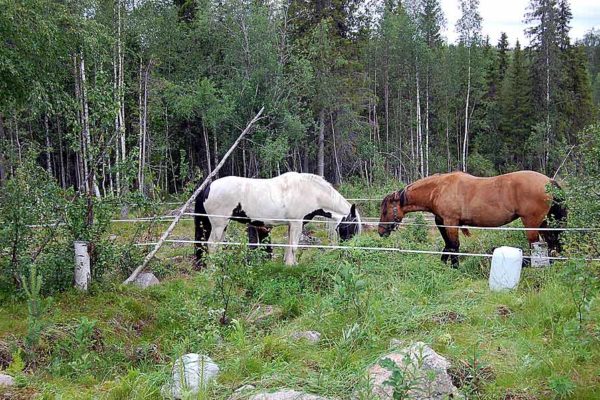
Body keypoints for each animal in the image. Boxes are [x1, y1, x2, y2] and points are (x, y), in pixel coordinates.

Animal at [195, 172, 360, 266]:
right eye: (352, 228)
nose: (351, 254)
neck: (311, 192)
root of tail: (208, 187)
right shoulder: (297, 223)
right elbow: (294, 246)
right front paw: (293, 266)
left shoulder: (291, 225)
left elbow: (288, 246)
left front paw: (288, 264)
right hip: (219, 224)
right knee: (212, 245)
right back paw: (214, 269)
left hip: (223, 225)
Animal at [380, 170, 568, 268]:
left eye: (385, 210)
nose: (381, 231)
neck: (439, 189)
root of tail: (549, 181)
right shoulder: (443, 221)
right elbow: (448, 245)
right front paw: (444, 264)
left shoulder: (450, 222)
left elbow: (454, 246)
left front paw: (454, 267)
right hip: (545, 223)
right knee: (552, 243)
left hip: (532, 224)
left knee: (537, 245)